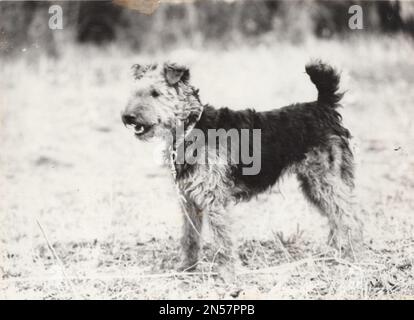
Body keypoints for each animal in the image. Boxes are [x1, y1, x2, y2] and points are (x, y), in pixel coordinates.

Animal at [122, 60, 362, 278]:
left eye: (155, 93)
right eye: (135, 92)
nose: (127, 117)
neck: (191, 128)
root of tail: (323, 105)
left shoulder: (214, 199)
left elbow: (223, 239)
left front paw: (229, 274)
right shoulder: (189, 200)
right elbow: (189, 237)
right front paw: (186, 268)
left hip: (324, 180)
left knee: (350, 218)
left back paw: (349, 255)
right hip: (314, 185)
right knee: (337, 218)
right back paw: (334, 251)